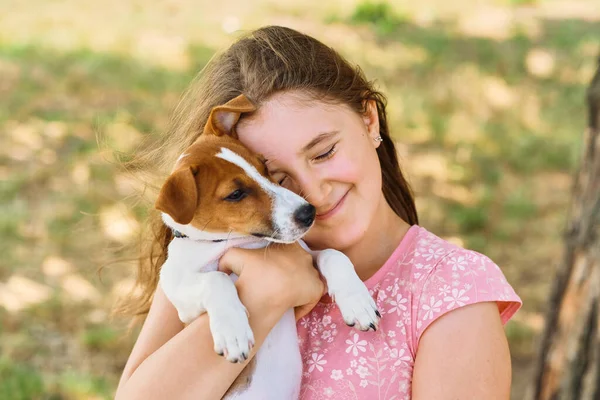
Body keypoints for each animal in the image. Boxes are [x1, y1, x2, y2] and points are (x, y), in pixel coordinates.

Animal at [155, 94, 380, 400]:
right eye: (236, 194)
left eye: (265, 167)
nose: (308, 212)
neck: (240, 241)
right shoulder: (181, 299)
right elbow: (216, 279)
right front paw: (233, 330)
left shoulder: (306, 255)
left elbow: (334, 255)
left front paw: (358, 303)